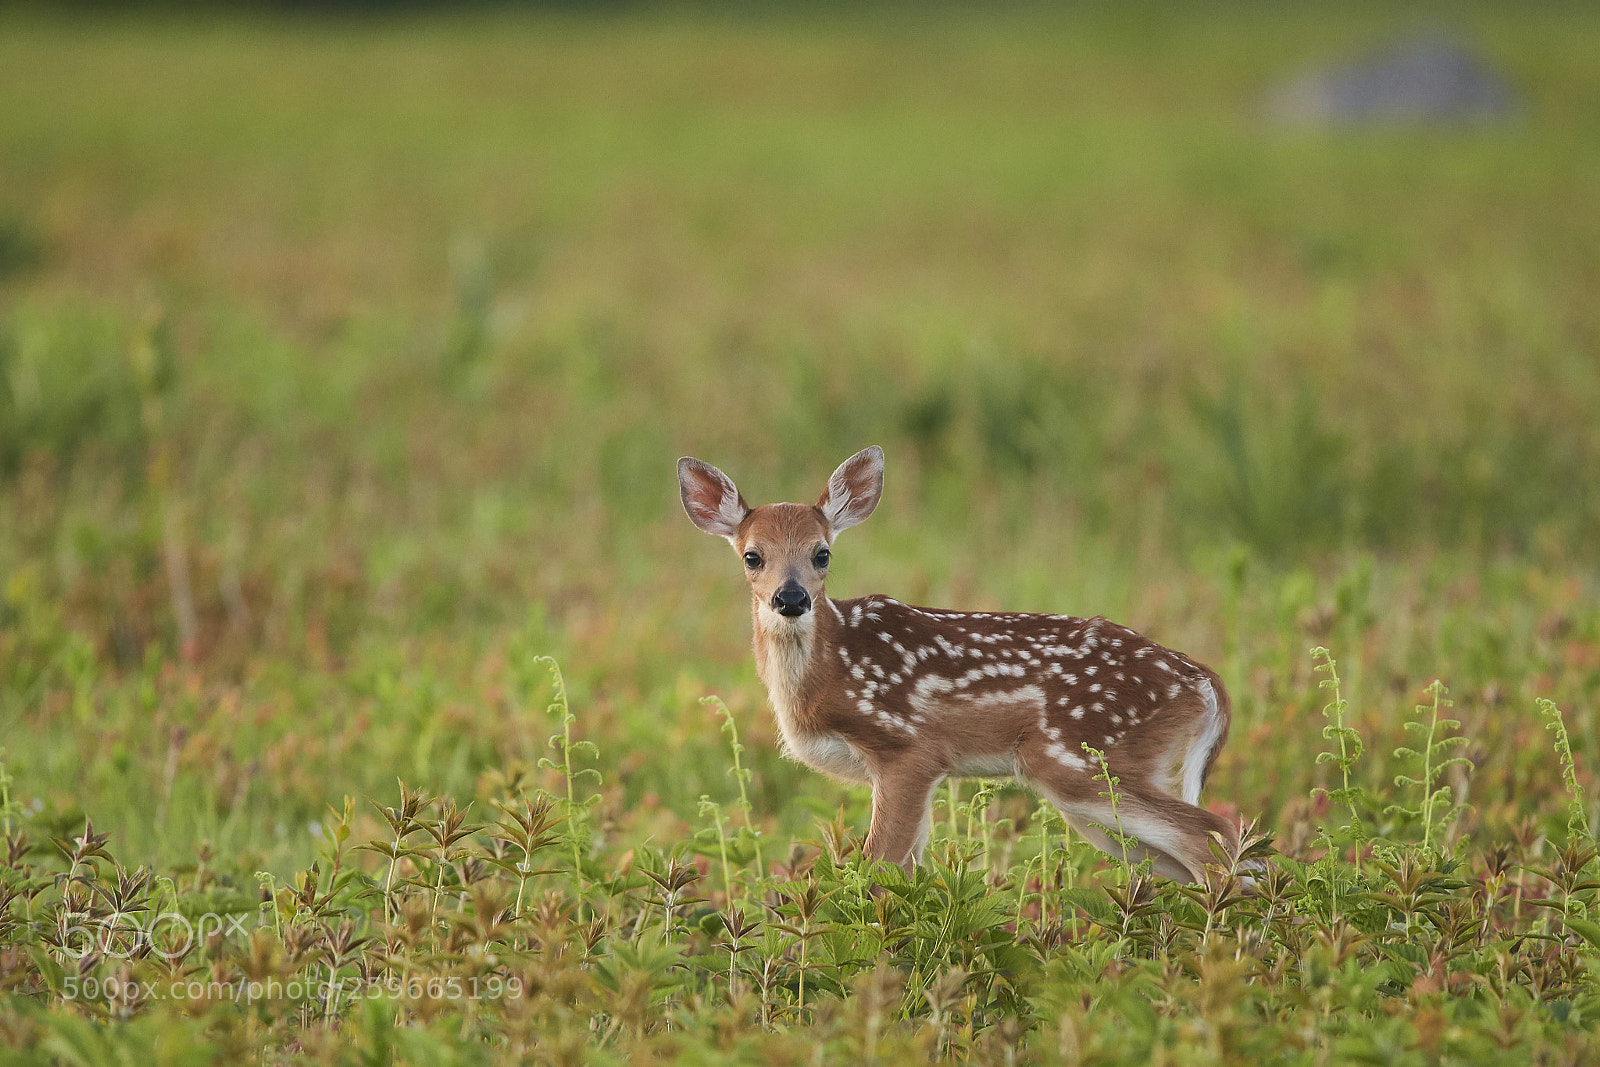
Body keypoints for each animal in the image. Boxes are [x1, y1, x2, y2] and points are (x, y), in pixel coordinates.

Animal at [677, 445, 1237, 884]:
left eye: (822, 554)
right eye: (752, 556)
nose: (790, 599)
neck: (826, 676)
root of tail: (1205, 682)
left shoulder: (908, 746)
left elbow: (879, 868)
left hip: (1085, 756)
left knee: (1215, 833)